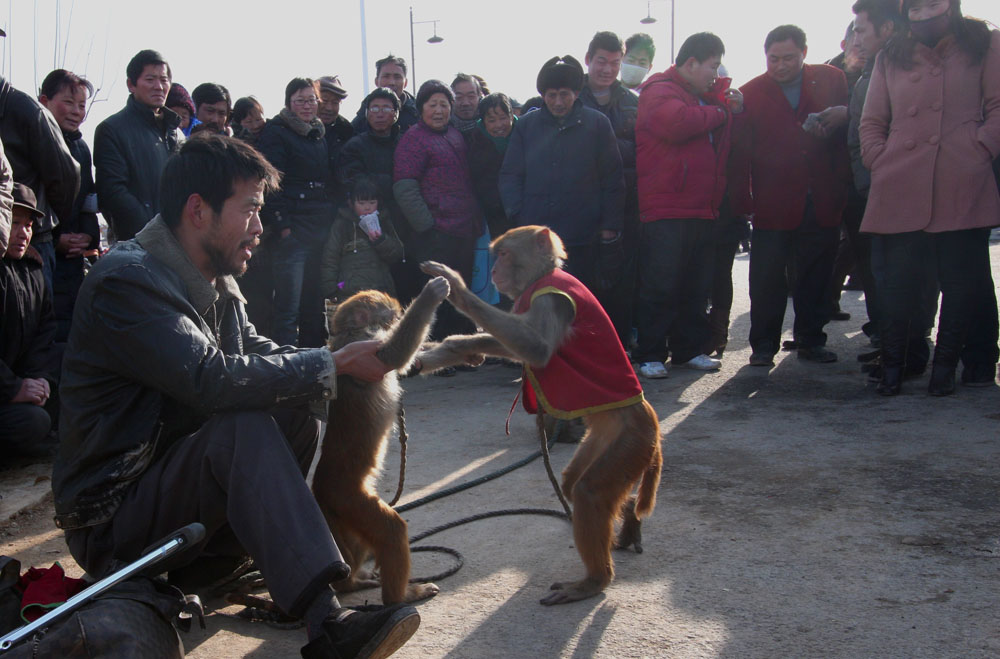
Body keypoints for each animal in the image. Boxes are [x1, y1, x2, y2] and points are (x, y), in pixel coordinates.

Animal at [312, 276, 450, 604]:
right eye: (391, 315)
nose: (398, 317)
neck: (348, 332)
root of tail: (320, 486)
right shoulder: (364, 344)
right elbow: (394, 355)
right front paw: (430, 295)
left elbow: (411, 361)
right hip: (346, 496)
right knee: (391, 531)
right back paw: (401, 597)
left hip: (342, 508)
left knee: (359, 543)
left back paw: (353, 582)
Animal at [418, 228, 660, 608]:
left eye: (504, 254)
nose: (493, 270)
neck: (545, 276)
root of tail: (648, 418)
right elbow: (523, 347)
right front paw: (460, 347)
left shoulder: (551, 302)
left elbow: (537, 349)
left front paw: (456, 288)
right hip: (605, 437)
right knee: (574, 482)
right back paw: (629, 514)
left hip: (631, 440)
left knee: (588, 492)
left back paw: (594, 581)